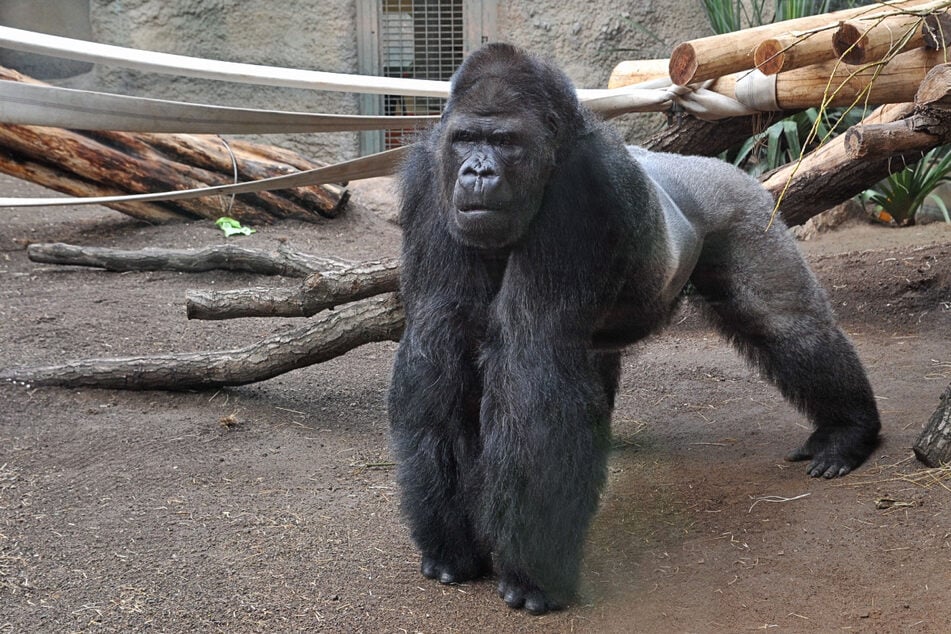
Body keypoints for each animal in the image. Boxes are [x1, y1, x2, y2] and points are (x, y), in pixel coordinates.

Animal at [386, 43, 876, 612]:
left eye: (505, 142)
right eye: (466, 138)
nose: (477, 173)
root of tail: (707, 166)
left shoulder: (582, 190)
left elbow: (532, 358)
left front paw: (533, 576)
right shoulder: (429, 182)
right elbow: (439, 344)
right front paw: (452, 543)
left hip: (746, 207)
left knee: (786, 324)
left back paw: (848, 430)